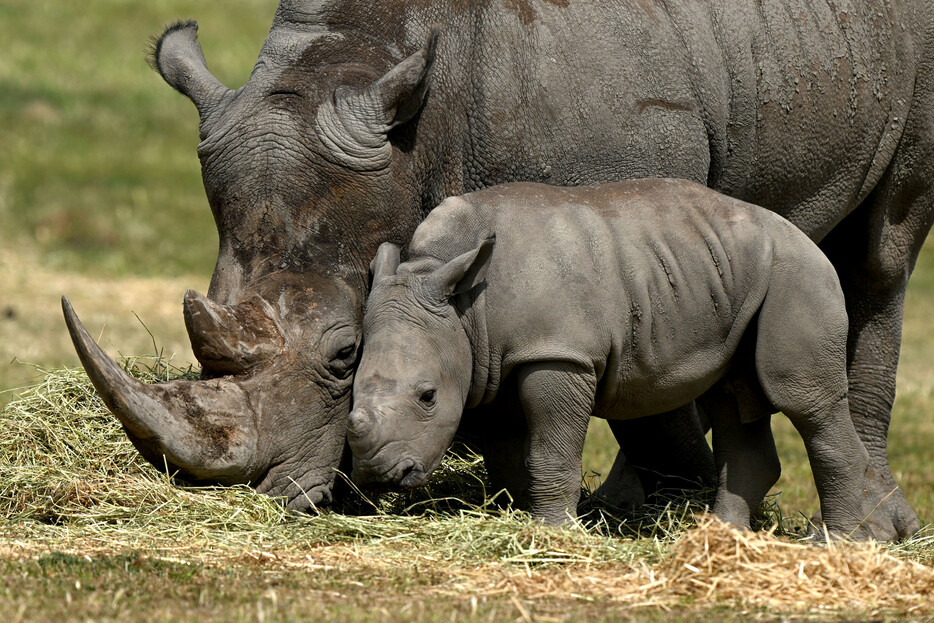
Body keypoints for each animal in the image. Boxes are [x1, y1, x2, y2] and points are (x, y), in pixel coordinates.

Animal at [348, 178, 896, 540]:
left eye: (427, 396)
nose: (381, 475)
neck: (457, 300)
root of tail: (809, 238)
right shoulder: (495, 363)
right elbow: (507, 454)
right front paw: (526, 518)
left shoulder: (560, 355)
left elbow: (550, 449)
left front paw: (556, 533)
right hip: (734, 275)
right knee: (734, 397)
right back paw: (715, 537)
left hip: (798, 273)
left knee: (802, 399)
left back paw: (833, 545)